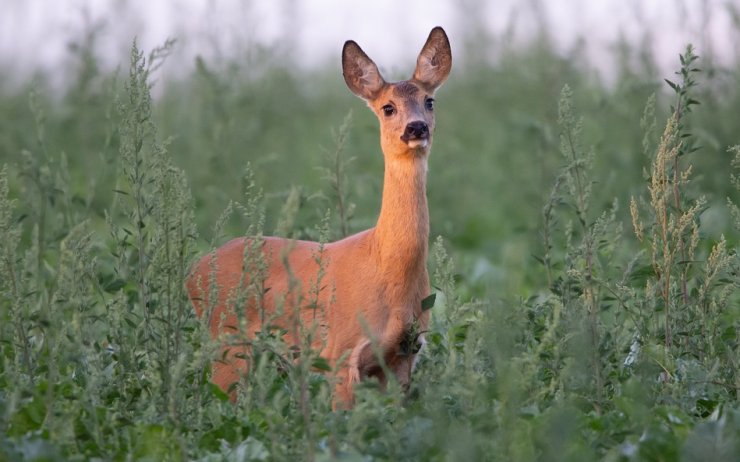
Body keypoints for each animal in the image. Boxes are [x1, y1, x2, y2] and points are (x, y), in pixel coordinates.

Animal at [186, 26, 450, 408]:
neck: (385, 262)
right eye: (388, 107)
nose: (416, 128)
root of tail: (192, 272)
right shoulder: (339, 353)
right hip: (228, 342)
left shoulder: (403, 356)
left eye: (429, 101)